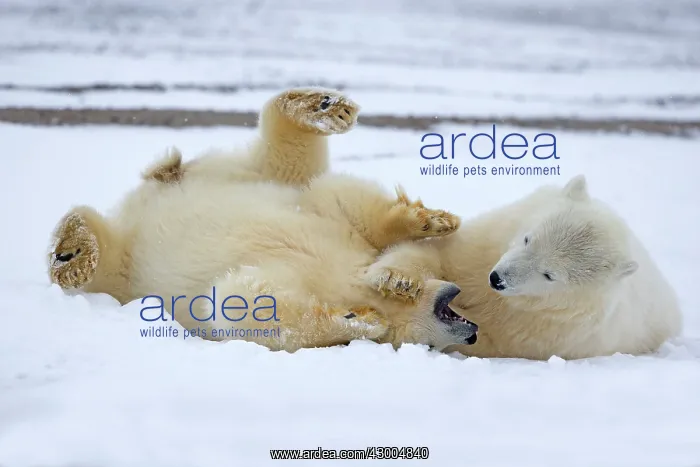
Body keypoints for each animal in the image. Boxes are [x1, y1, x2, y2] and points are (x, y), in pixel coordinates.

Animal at [47, 87, 479, 353]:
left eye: (432, 347)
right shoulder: (330, 234)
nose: (473, 331)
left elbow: (246, 299)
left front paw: (367, 309)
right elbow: (244, 302)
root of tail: (161, 182)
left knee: (284, 156)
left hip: (249, 176)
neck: (349, 281)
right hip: (138, 260)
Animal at [366, 175, 683, 360]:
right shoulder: (489, 242)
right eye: (529, 238)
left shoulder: (549, 326)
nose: (497, 279)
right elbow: (439, 253)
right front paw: (398, 280)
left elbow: (487, 337)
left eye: (549, 275)